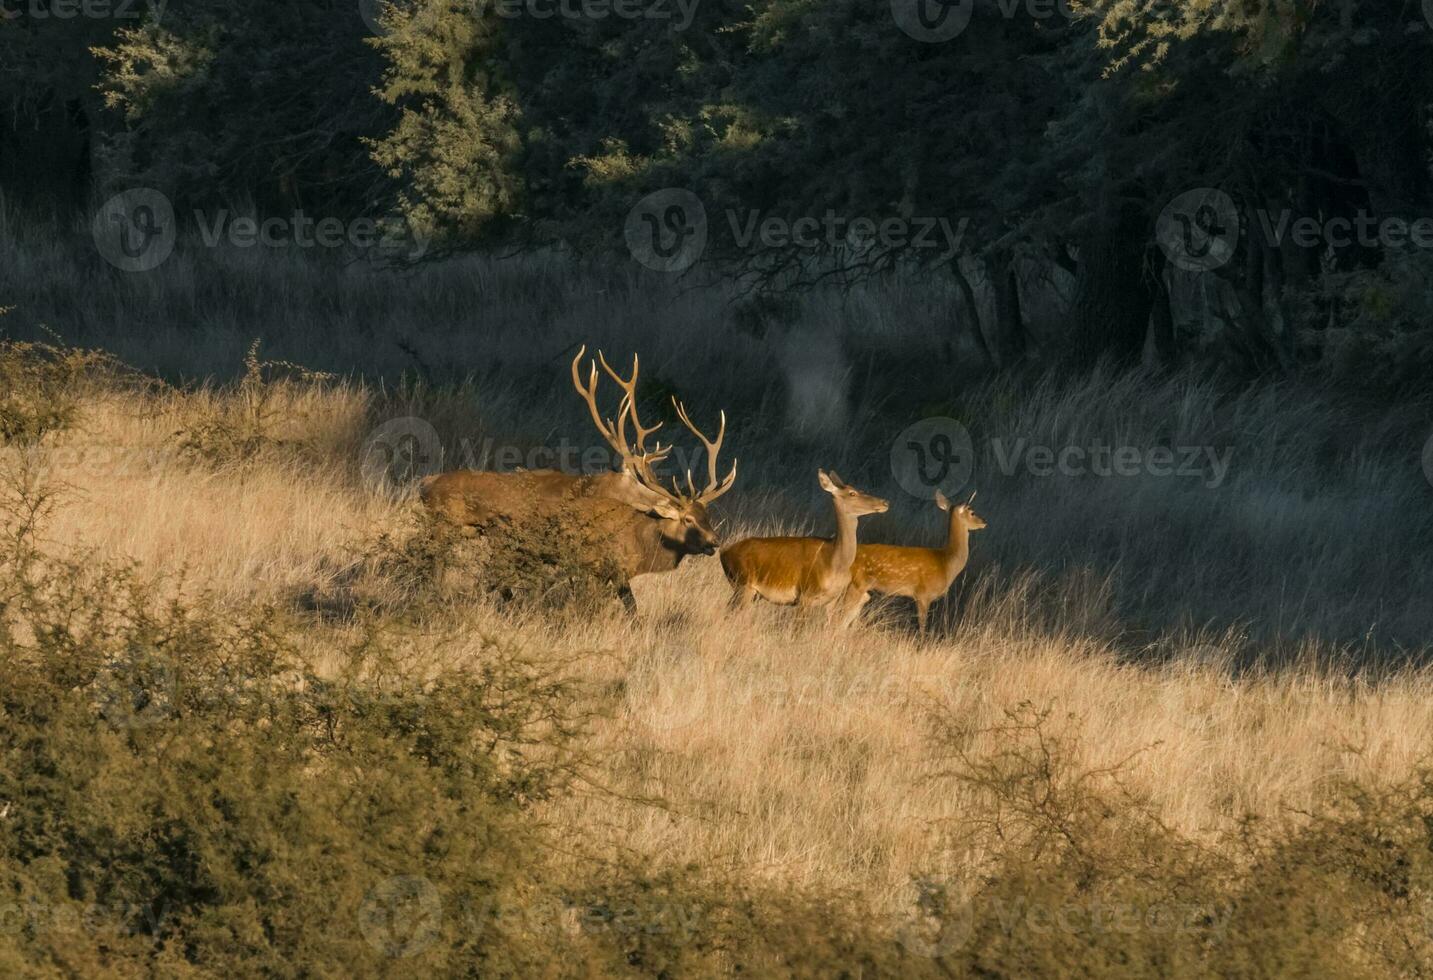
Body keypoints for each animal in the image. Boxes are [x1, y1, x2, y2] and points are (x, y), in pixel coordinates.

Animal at [836, 490, 985, 636]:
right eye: (972, 512)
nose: (984, 522)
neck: (946, 562)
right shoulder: (923, 594)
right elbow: (922, 627)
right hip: (855, 583)